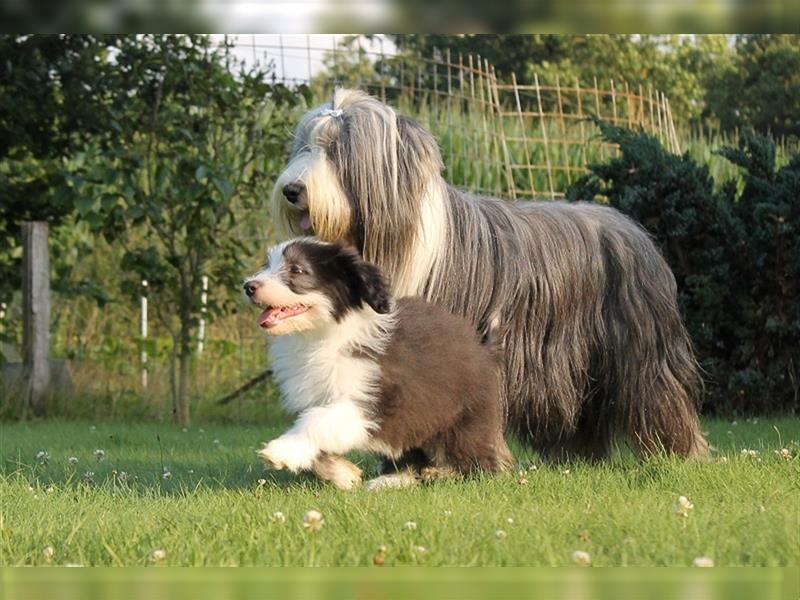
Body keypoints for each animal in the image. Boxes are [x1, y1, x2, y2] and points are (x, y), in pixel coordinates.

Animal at [241, 237, 512, 490]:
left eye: (296, 269)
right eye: (268, 265)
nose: (248, 286)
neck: (324, 335)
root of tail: (484, 349)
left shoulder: (375, 398)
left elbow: (316, 420)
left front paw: (281, 451)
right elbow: (317, 430)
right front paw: (343, 474)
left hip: (464, 414)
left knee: (476, 457)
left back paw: (451, 475)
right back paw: (392, 480)